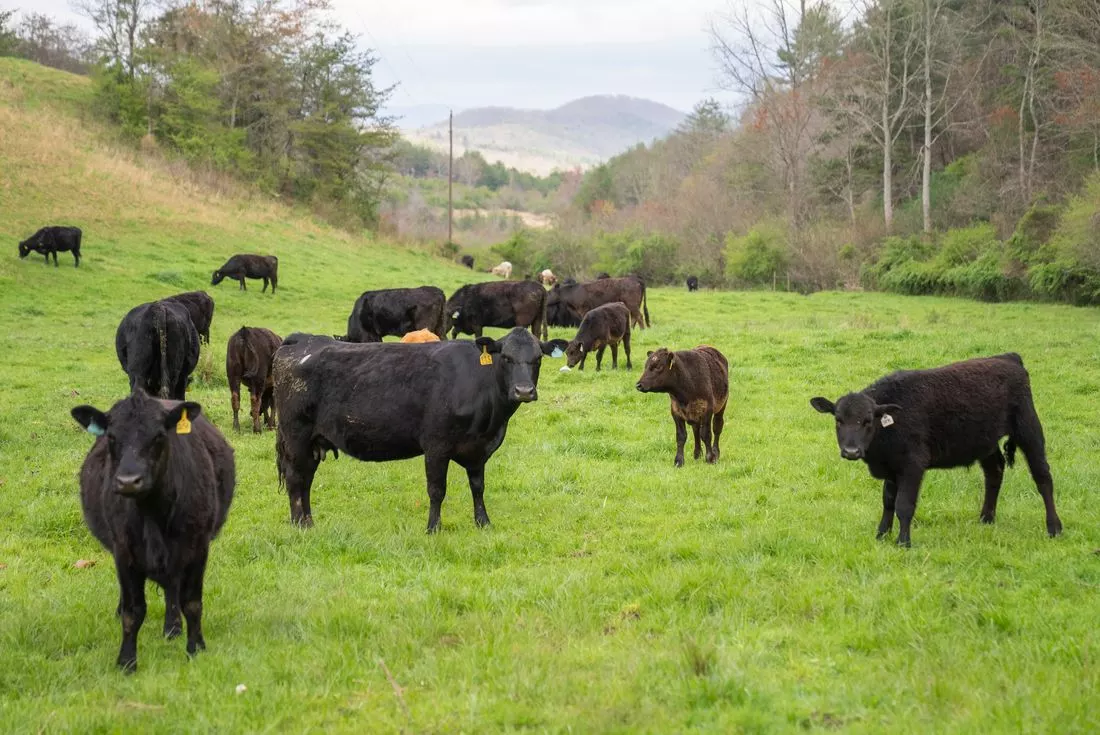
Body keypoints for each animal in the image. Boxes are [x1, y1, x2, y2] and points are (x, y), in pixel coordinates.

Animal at [71, 390, 235, 672]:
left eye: (158, 435)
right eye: (111, 436)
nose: (128, 481)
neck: (152, 513)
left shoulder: (198, 547)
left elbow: (192, 603)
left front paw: (196, 649)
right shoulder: (123, 551)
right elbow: (133, 611)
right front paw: (126, 662)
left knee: (173, 590)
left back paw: (173, 628)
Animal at [272, 328, 562, 531]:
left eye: (538, 359)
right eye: (507, 358)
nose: (524, 391)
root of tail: (304, 339)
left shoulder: (478, 449)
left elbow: (478, 486)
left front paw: (483, 522)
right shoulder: (436, 445)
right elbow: (437, 490)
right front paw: (433, 528)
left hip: (313, 442)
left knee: (306, 480)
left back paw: (309, 523)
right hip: (296, 437)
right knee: (296, 479)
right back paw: (299, 525)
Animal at [810, 353, 1063, 547]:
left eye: (867, 420)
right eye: (838, 420)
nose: (851, 451)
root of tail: (1009, 358)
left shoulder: (913, 465)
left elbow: (904, 504)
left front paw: (903, 542)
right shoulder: (892, 467)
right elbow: (888, 501)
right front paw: (881, 535)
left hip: (1028, 428)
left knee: (1043, 477)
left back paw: (1054, 527)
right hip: (986, 442)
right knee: (994, 473)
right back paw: (986, 518)